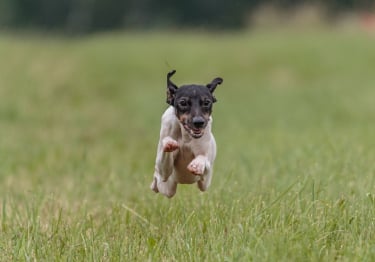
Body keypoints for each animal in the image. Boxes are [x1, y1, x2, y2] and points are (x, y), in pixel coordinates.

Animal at [151, 70, 223, 198]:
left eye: (206, 102)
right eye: (183, 102)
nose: (199, 122)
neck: (186, 136)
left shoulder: (206, 173)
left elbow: (204, 160)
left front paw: (197, 164)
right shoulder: (164, 172)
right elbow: (163, 164)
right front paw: (169, 143)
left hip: (204, 184)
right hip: (168, 188)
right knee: (158, 179)